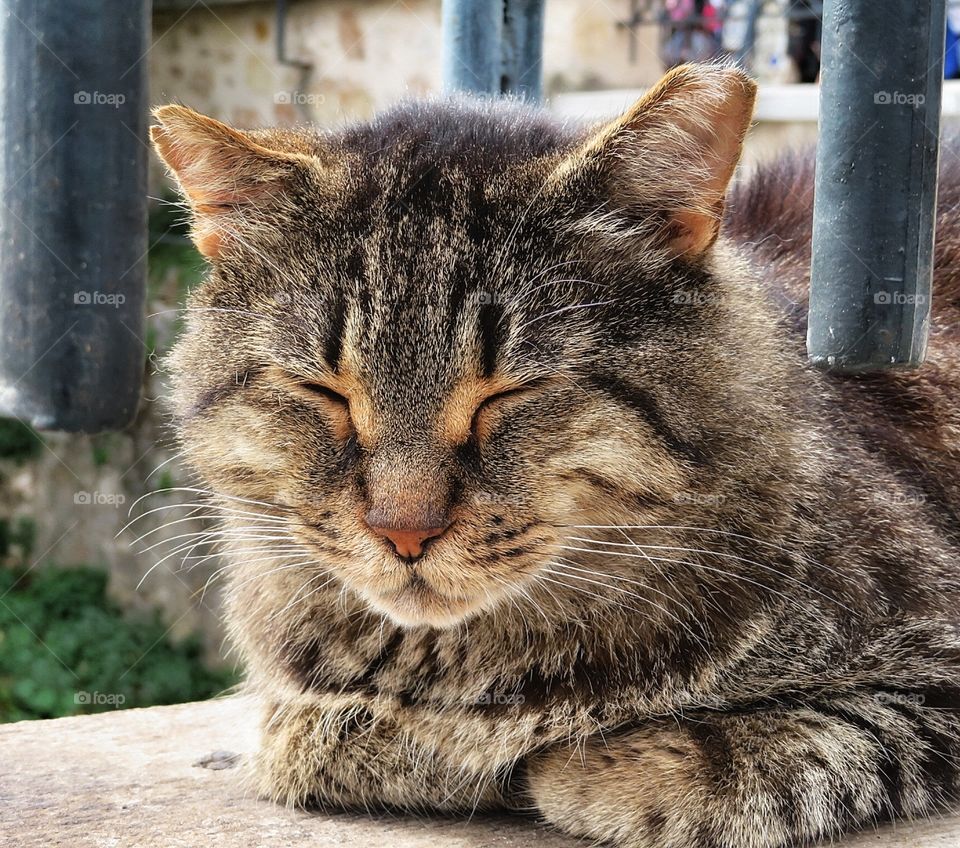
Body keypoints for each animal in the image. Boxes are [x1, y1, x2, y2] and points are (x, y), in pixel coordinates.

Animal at [150, 66, 960, 848]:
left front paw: (580, 764)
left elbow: (776, 748)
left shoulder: (933, 671)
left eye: (512, 390)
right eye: (325, 390)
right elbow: (306, 734)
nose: (403, 531)